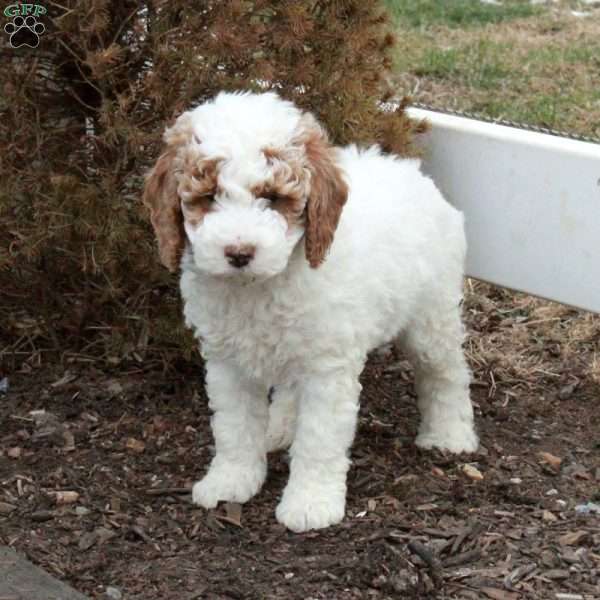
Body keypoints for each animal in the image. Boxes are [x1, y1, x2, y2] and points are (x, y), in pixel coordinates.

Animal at [143, 92, 476, 536]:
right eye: (209, 195)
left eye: (272, 197)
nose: (239, 253)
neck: (260, 285)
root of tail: (409, 171)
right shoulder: (228, 363)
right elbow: (234, 428)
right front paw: (231, 480)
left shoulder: (327, 368)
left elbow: (319, 439)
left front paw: (310, 503)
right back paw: (280, 427)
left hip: (430, 315)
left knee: (446, 373)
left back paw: (450, 434)